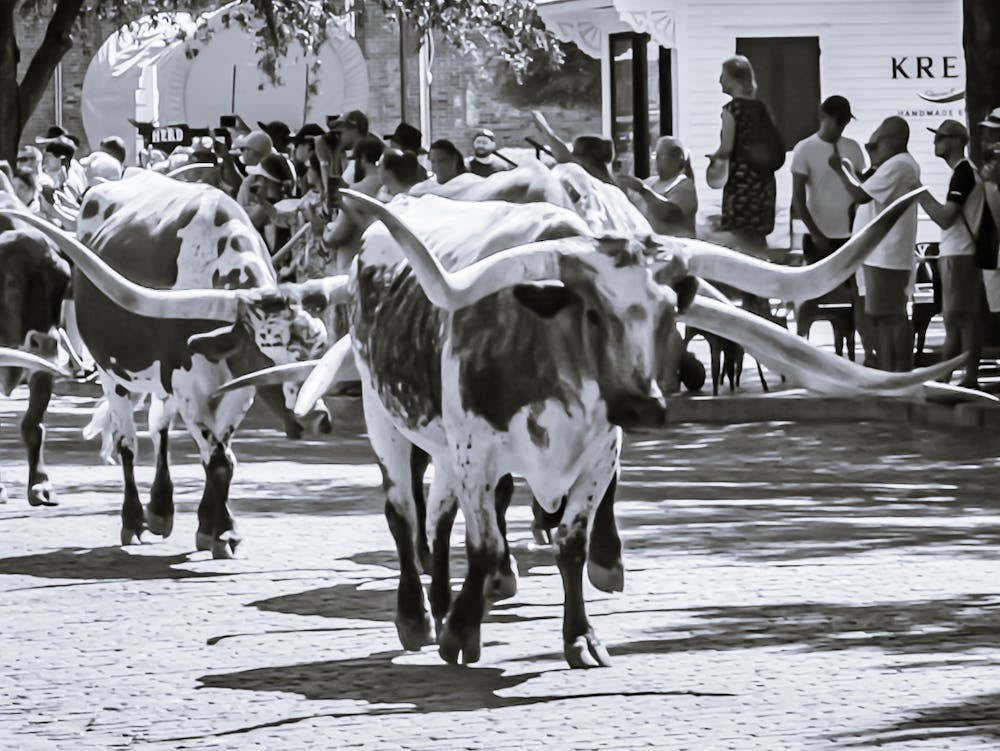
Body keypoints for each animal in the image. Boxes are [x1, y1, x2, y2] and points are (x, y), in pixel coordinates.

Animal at [4, 171, 344, 557]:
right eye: (266, 353)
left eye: (319, 346)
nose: (315, 418)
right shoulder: (190, 387)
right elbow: (217, 459)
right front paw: (224, 533)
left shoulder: (237, 390)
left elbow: (221, 455)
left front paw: (210, 526)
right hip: (113, 375)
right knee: (127, 443)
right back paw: (133, 519)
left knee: (159, 430)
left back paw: (161, 509)